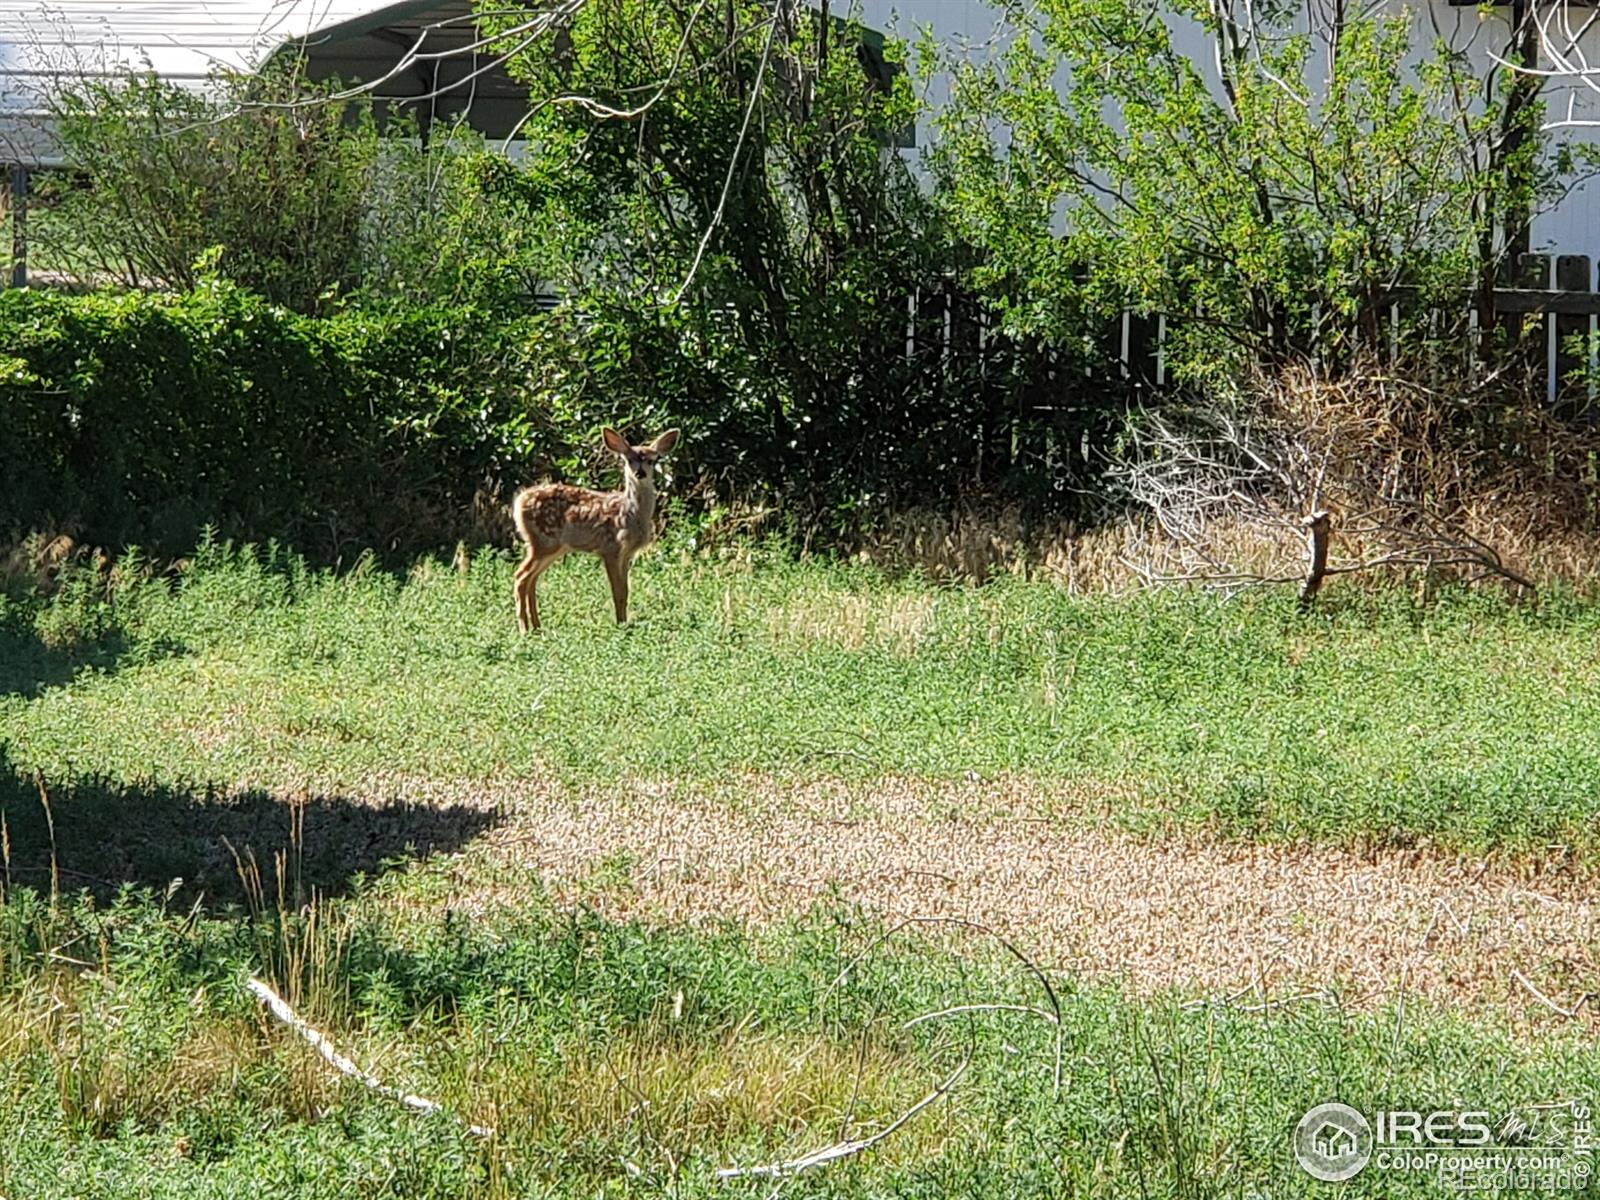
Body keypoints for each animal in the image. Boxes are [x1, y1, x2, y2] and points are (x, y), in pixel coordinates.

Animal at [508, 428, 678, 633]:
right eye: (629, 460)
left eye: (651, 460)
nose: (640, 473)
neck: (631, 515)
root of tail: (519, 502)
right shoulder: (610, 548)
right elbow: (617, 592)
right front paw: (620, 625)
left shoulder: (627, 554)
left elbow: (626, 591)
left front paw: (625, 623)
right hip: (543, 541)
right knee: (520, 576)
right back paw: (524, 629)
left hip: (552, 547)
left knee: (531, 579)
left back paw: (537, 627)